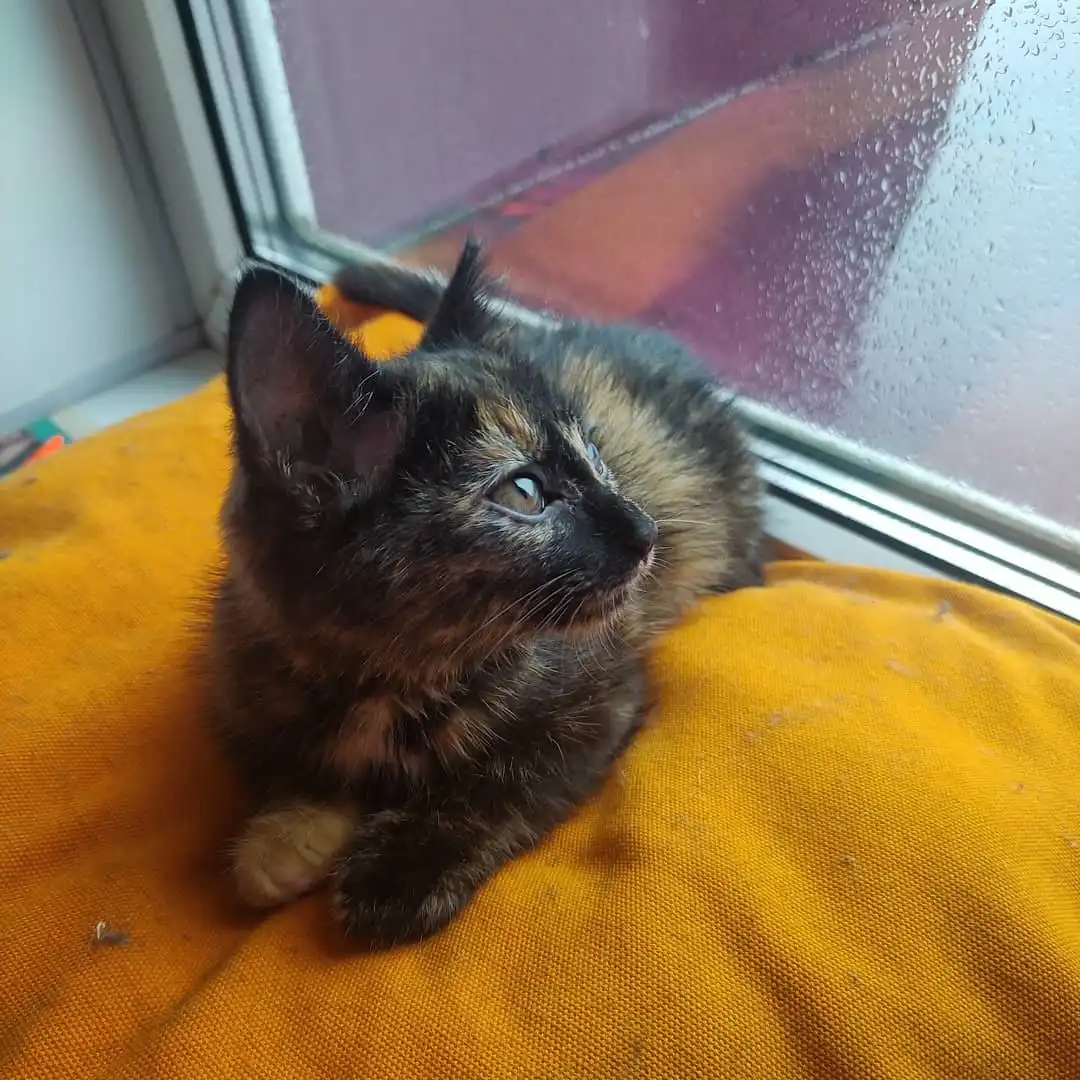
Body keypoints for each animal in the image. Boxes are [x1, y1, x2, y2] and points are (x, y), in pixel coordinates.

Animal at [209, 239, 763, 947]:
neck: (396, 680)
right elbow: (283, 758)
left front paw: (402, 866)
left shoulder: (603, 698)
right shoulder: (244, 673)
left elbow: (506, 780)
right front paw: (284, 836)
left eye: (595, 452)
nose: (647, 531)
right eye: (523, 492)